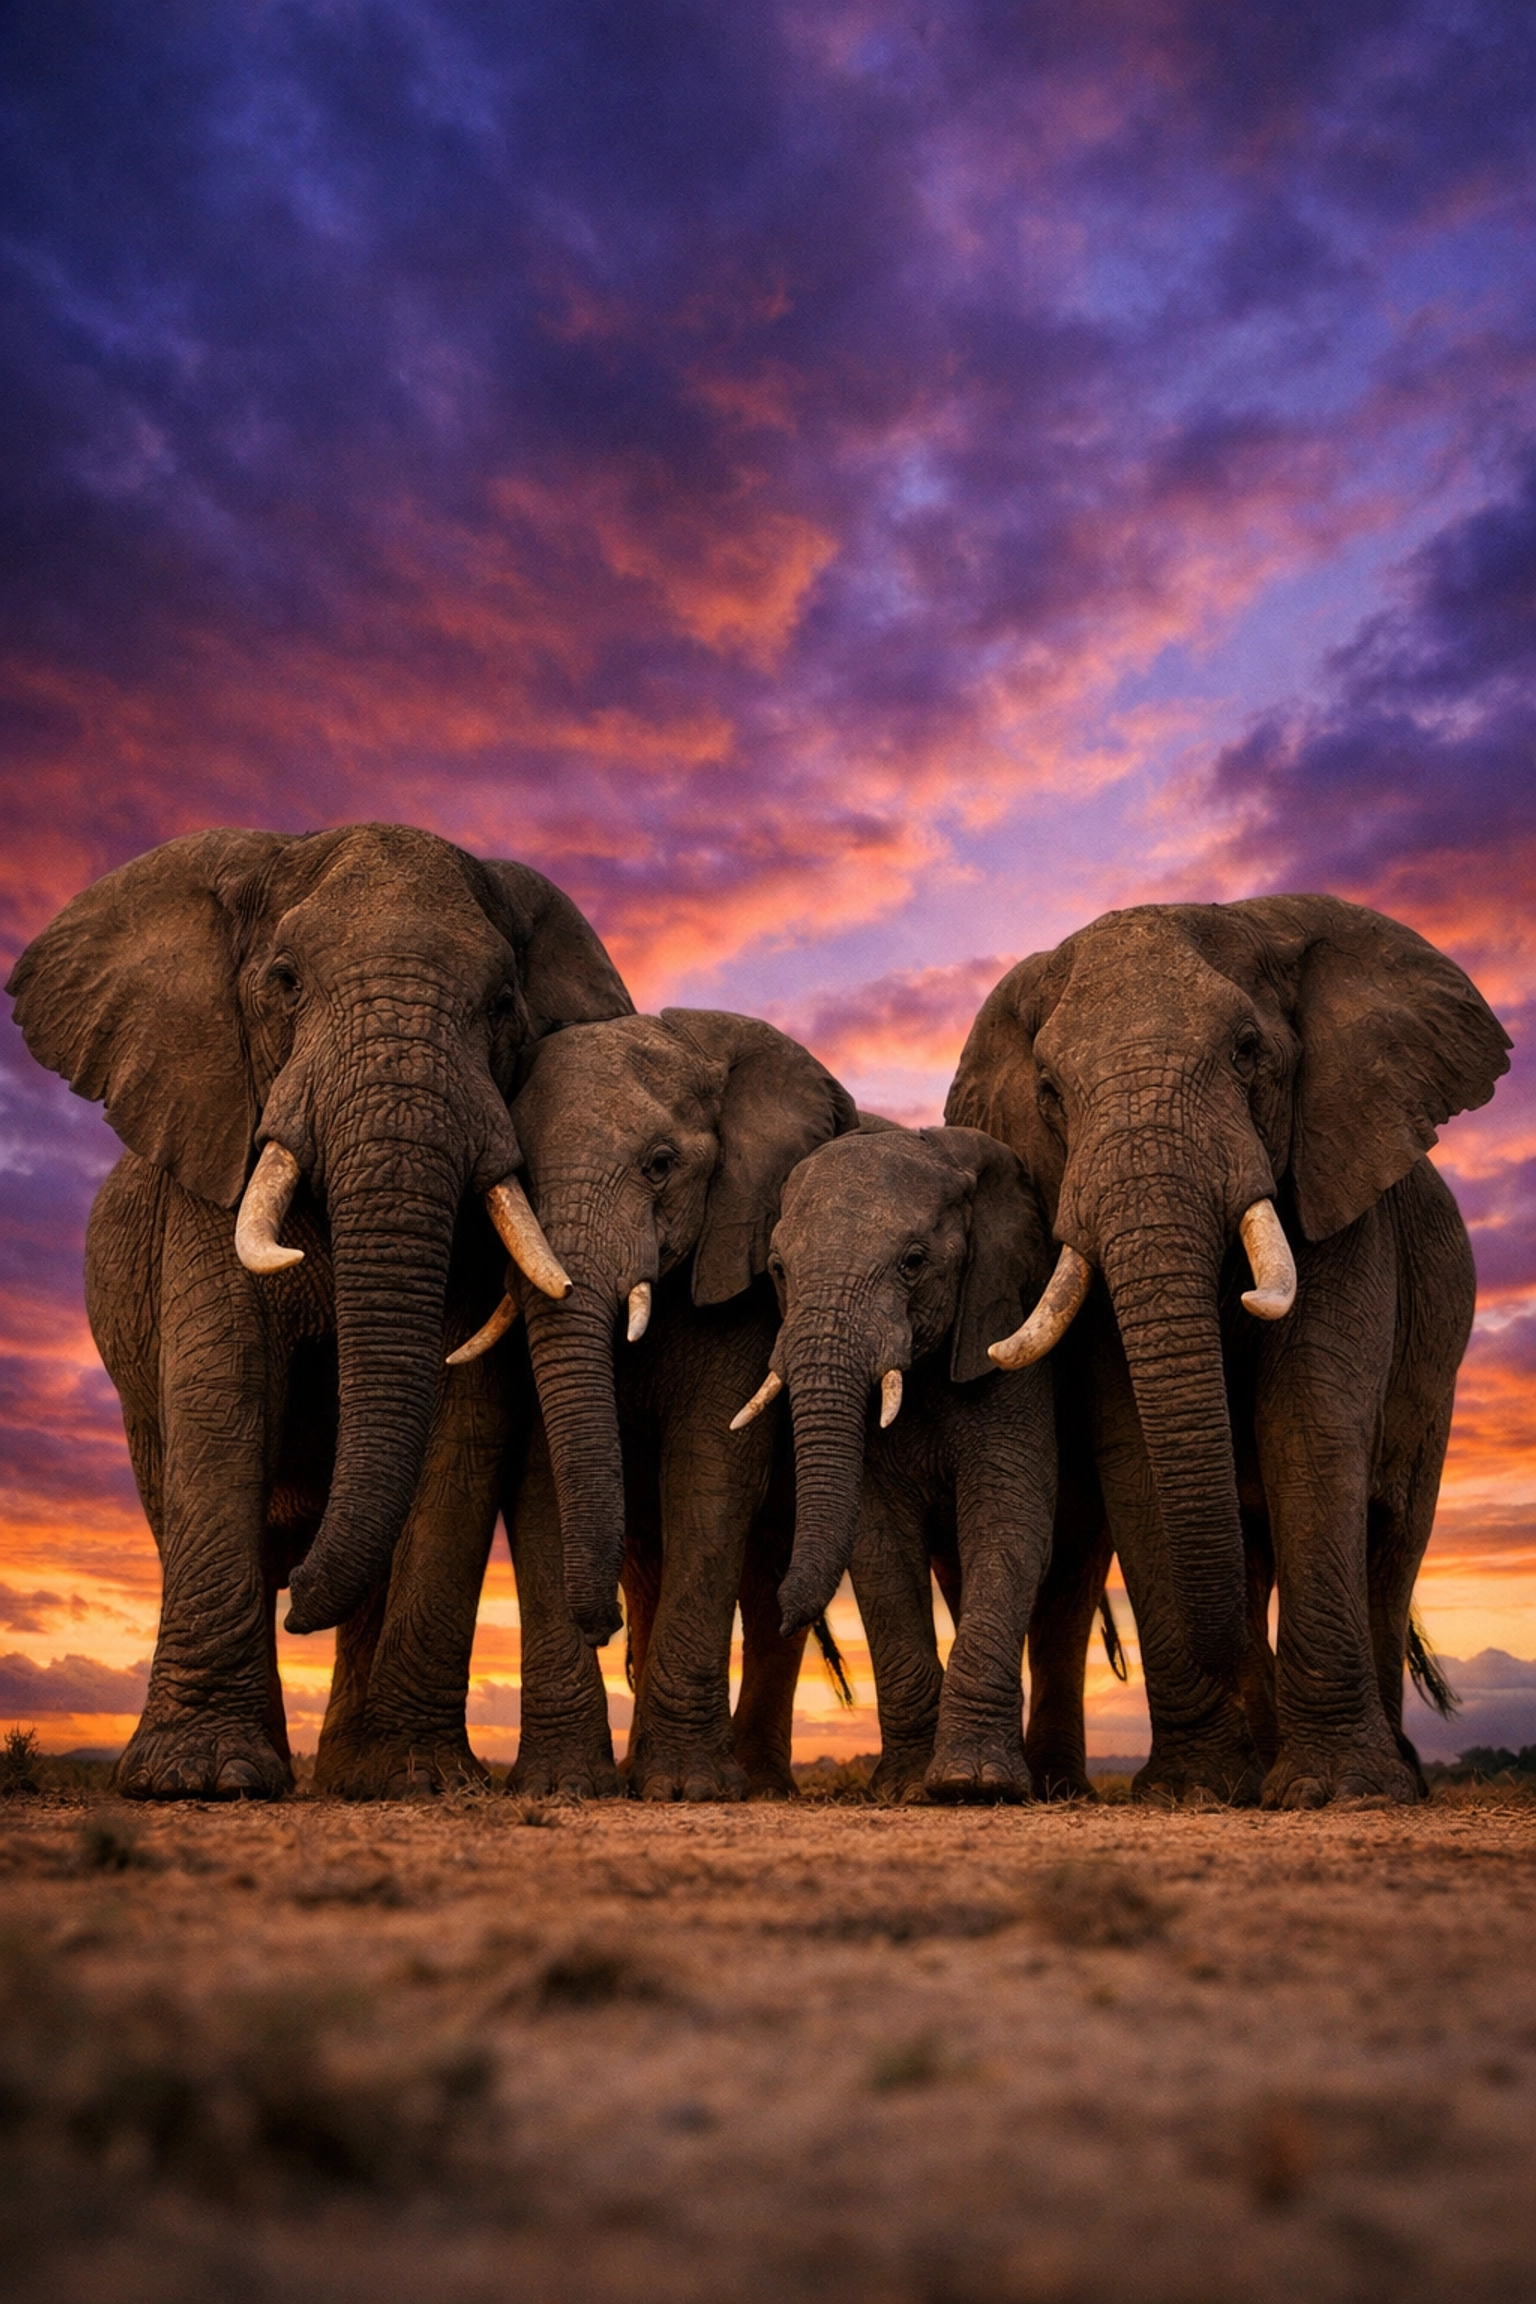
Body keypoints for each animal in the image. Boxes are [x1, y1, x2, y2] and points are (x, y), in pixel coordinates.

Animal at [5, 825, 631, 1798]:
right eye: (286, 980)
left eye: (502, 1004)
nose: (303, 1595)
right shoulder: (208, 1161)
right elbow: (223, 1395)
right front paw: (197, 1781)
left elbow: (461, 1424)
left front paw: (415, 1779)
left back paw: (348, 1771)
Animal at [446, 1008, 859, 1800]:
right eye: (516, 1177)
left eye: (660, 1164)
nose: (601, 1627)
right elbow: (543, 1470)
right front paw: (561, 1787)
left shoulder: (741, 1259)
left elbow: (712, 1466)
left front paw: (689, 1789)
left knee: (767, 1571)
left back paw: (755, 1783)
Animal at [749, 1122, 1058, 1803]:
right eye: (779, 1271)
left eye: (914, 1263)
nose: (784, 1616)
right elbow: (879, 1545)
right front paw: (908, 1788)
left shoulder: (1006, 1336)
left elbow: (1009, 1520)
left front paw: (976, 1784)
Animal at [947, 895, 1510, 1808]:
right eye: (1049, 1092)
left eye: (1249, 1052)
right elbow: (1135, 1448)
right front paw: (1196, 1790)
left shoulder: (1341, 1190)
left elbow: (1308, 1425)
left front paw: (1333, 1791)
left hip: (1441, 1381)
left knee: (1393, 1542)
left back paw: (1397, 1776)